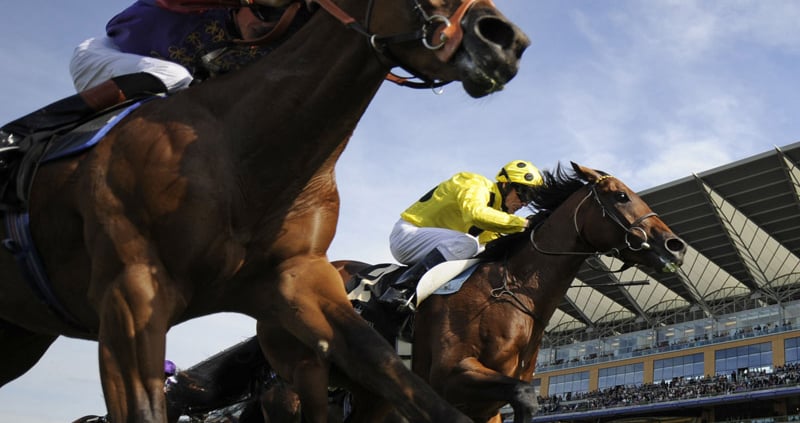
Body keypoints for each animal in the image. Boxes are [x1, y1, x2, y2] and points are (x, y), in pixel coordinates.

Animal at [0, 0, 532, 423]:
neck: (244, 152)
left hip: (23, 335)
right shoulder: (129, 293)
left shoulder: (299, 282)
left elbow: (408, 386)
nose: (507, 40)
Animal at [332, 163, 688, 423]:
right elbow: (526, 397)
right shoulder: (448, 374)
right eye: (621, 196)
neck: (512, 289)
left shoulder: (485, 408)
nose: (676, 246)